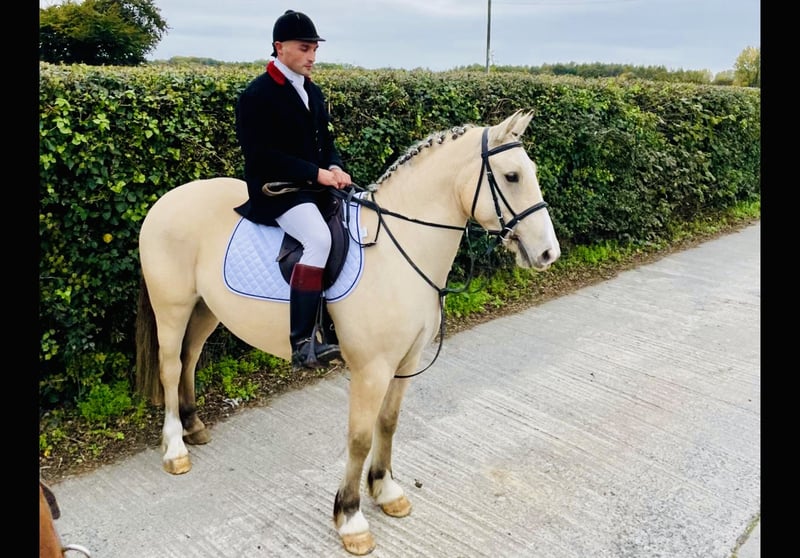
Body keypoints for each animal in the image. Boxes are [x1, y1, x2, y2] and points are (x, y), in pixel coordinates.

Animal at [135, 110, 561, 555]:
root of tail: (166, 200)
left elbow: (388, 423)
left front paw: (386, 491)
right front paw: (351, 518)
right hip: (173, 308)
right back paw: (175, 448)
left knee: (189, 359)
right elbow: (359, 437)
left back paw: (194, 426)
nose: (549, 253)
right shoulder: (371, 369)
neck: (398, 251)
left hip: (205, 309)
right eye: (512, 176)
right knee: (170, 366)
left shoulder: (405, 361)